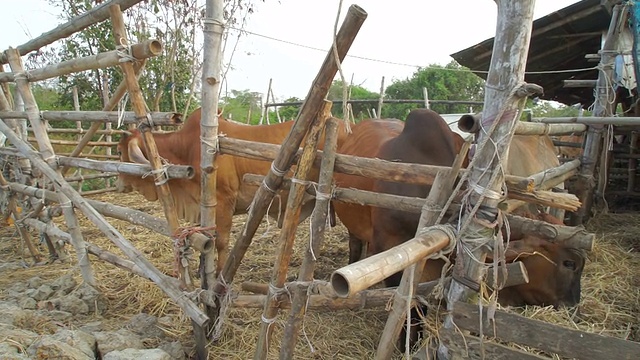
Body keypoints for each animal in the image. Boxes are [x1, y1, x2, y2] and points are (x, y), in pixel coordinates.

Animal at [119, 107, 350, 276]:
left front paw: (218, 273)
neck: (185, 147)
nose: (120, 184)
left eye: (121, 151)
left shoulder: (224, 201)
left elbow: (221, 242)